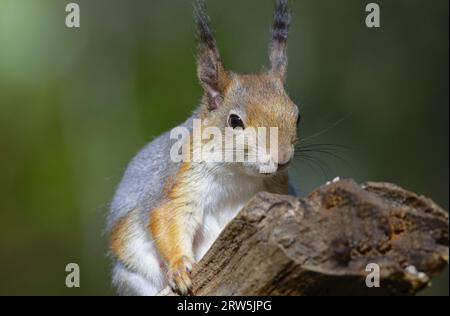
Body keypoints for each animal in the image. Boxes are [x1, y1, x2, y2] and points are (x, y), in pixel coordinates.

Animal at [107, 0, 300, 296]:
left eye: (297, 115)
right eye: (235, 121)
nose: (283, 157)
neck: (238, 174)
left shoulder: (278, 187)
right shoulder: (180, 182)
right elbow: (168, 216)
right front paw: (179, 268)